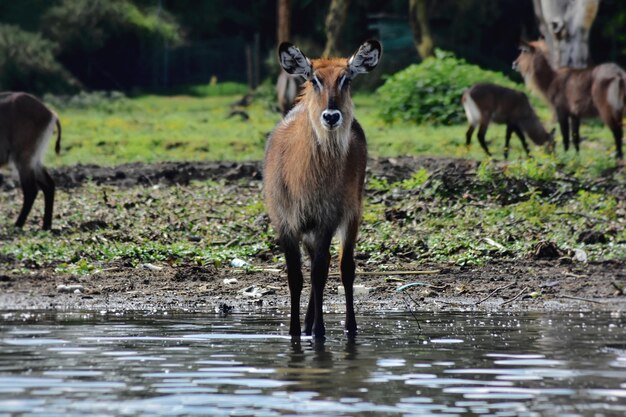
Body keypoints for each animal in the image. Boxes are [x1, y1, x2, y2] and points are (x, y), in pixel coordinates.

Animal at [0, 91, 61, 229]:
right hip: (34, 159)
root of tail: (50, 112)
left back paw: (18, 224)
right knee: (48, 184)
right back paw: (46, 226)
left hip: (23, 158)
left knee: (31, 190)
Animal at [264, 39, 380, 338]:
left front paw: (319, 331)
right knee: (320, 261)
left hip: (352, 213)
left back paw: (348, 326)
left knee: (343, 266)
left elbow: (319, 273)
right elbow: (295, 276)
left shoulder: (327, 218)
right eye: (314, 79)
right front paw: (295, 331)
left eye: (346, 79)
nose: (331, 116)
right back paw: (307, 324)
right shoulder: (286, 221)